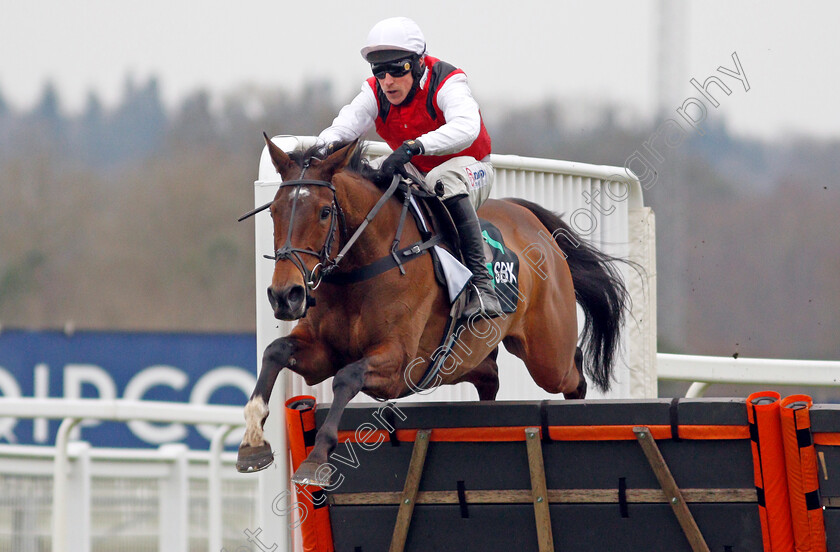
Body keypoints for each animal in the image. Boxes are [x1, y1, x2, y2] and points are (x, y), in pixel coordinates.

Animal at [236, 136, 632, 486]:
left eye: (324, 212)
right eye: (274, 212)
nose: (285, 295)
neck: (363, 266)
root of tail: (532, 222)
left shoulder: (399, 364)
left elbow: (348, 376)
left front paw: (317, 457)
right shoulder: (322, 353)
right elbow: (276, 351)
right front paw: (252, 442)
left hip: (546, 355)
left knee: (572, 370)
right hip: (462, 359)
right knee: (490, 375)